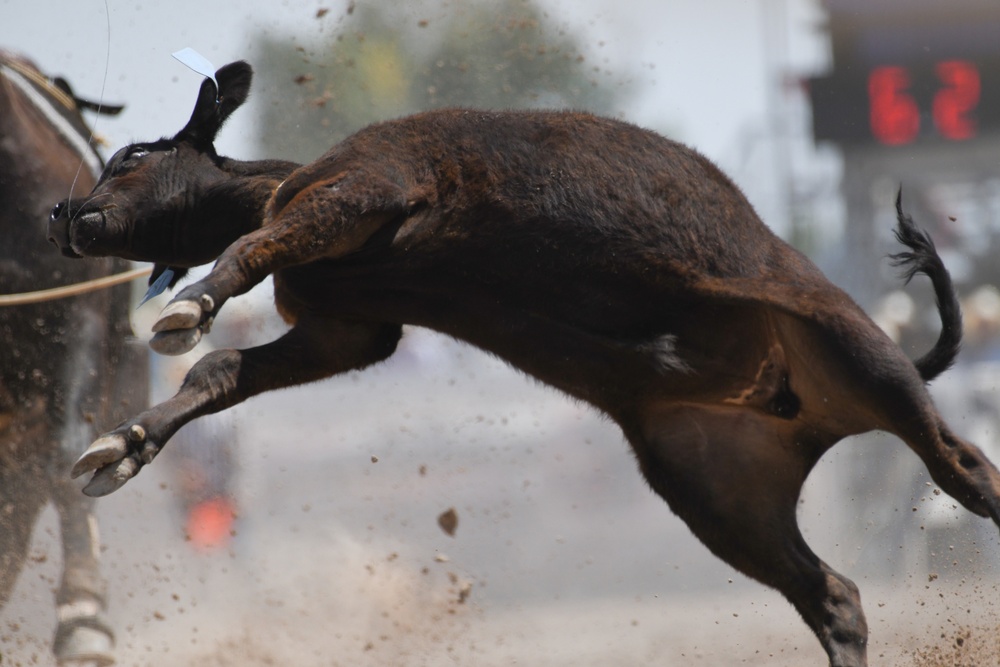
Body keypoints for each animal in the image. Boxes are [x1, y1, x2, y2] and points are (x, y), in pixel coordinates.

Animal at [48, 60, 1000, 664]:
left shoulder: (372, 183)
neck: (284, 178)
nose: (63, 211)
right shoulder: (347, 330)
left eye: (133, 155)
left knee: (967, 471)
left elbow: (247, 249)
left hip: (861, 358)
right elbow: (217, 376)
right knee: (831, 594)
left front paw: (190, 306)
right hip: (719, 490)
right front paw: (119, 448)